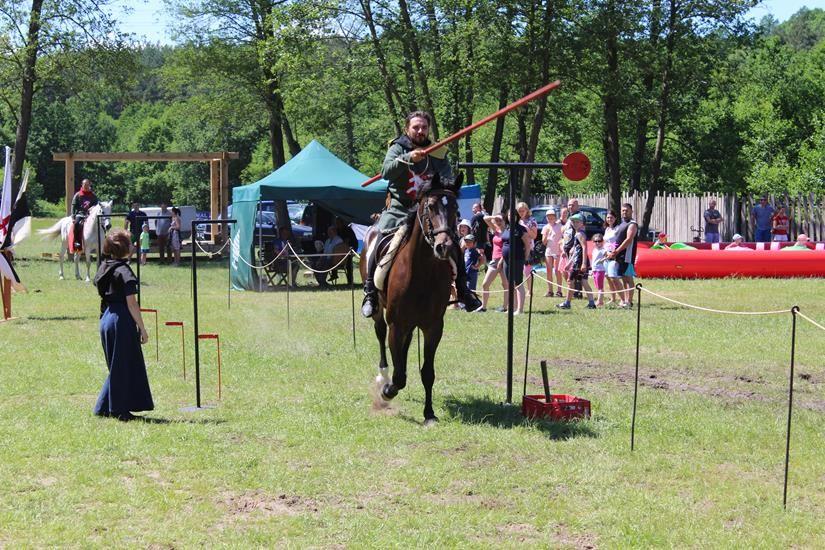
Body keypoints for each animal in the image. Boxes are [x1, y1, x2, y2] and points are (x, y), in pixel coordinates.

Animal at [360, 175, 464, 424]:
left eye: (455, 208)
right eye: (431, 206)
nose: (445, 247)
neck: (422, 271)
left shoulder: (433, 327)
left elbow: (427, 372)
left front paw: (429, 414)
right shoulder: (396, 325)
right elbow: (399, 376)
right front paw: (387, 391)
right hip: (381, 313)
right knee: (381, 336)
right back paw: (383, 376)